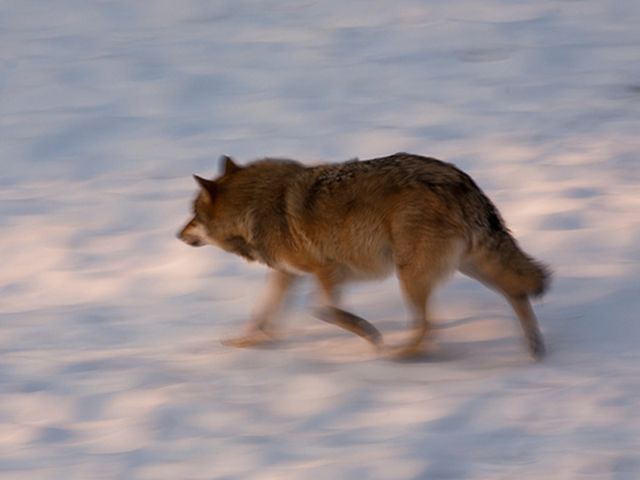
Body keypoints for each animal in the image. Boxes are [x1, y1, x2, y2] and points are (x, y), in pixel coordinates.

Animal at [179, 152, 552, 358]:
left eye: (194, 215)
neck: (257, 206)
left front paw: (371, 335)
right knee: (516, 293)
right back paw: (534, 347)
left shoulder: (327, 271)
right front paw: (246, 343)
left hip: (410, 274)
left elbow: (324, 311)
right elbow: (261, 315)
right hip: (468, 265)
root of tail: (461, 181)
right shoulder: (289, 274)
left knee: (429, 324)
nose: (178, 234)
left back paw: (400, 356)